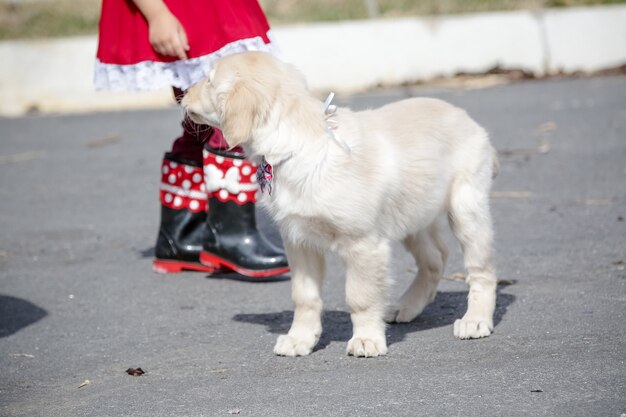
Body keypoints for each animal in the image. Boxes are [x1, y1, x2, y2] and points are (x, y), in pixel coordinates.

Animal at [180, 52, 498, 358]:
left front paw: (367, 339)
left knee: (482, 271)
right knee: (435, 258)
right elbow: (304, 296)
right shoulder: (299, 241)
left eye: (209, 80)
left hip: (465, 209)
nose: (182, 92)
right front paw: (300, 339)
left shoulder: (363, 244)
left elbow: (360, 297)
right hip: (413, 215)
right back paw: (406, 306)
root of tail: (467, 119)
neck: (299, 146)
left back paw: (475, 320)